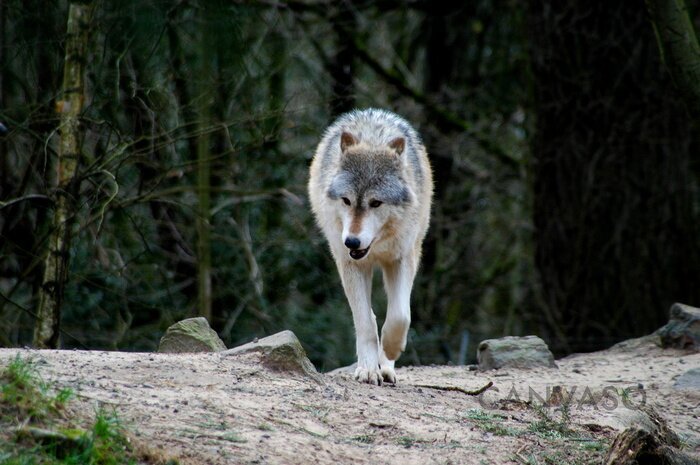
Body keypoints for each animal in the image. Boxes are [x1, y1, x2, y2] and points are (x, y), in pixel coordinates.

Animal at [308, 109, 432, 384]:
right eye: (346, 200)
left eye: (376, 203)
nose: (351, 242)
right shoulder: (350, 263)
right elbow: (366, 322)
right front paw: (367, 369)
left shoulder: (402, 258)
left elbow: (399, 315)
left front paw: (391, 349)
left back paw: (386, 367)